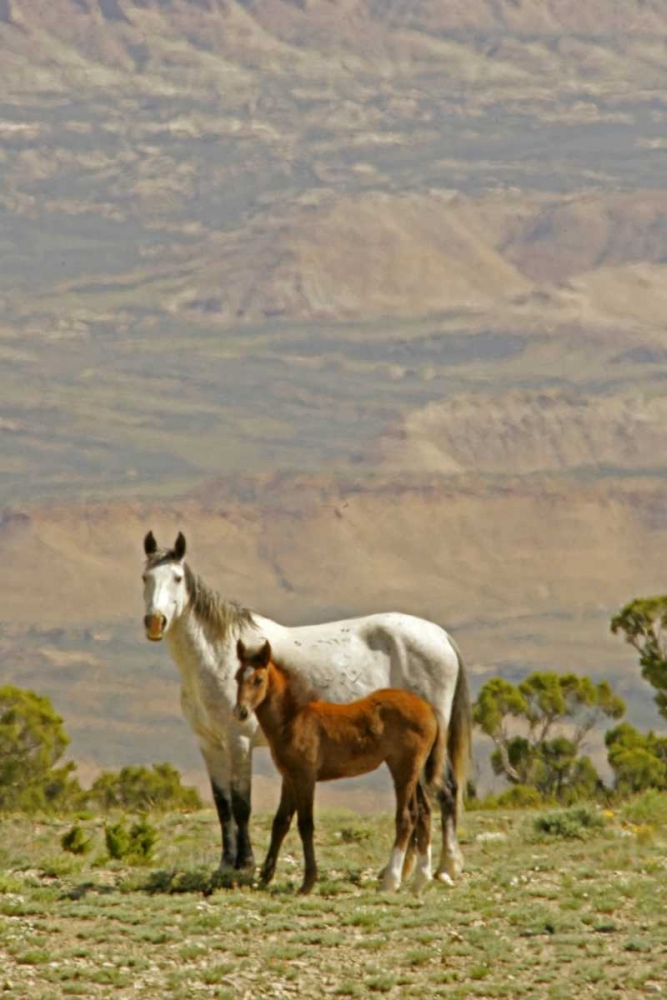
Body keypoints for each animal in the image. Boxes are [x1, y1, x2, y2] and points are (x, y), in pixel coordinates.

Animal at [235, 638, 445, 894]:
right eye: (237, 677)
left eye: (258, 679)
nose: (240, 712)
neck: (294, 718)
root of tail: (428, 709)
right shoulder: (289, 777)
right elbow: (280, 822)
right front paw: (266, 876)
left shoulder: (305, 778)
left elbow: (305, 825)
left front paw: (307, 882)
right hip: (415, 773)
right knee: (424, 812)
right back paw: (420, 880)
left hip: (404, 769)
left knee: (406, 817)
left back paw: (391, 881)